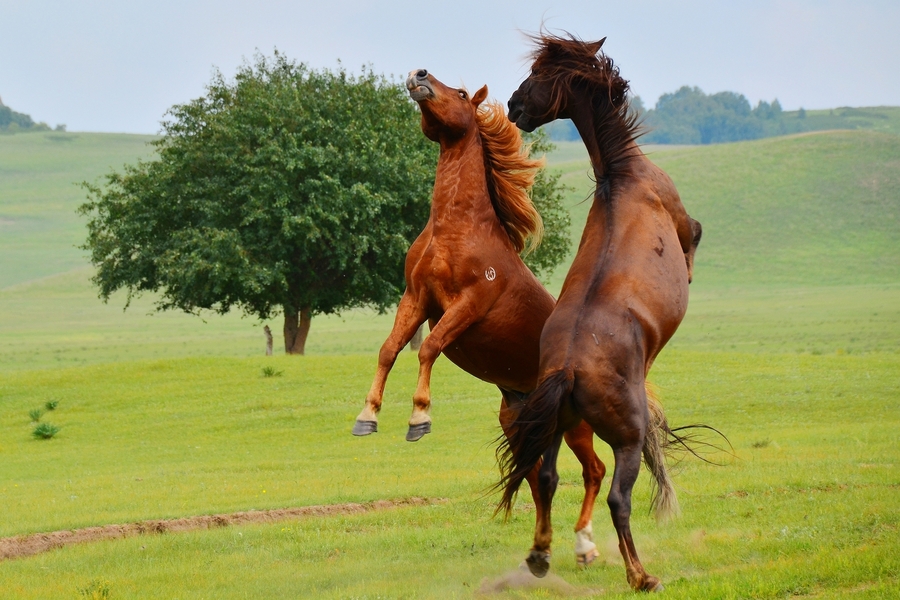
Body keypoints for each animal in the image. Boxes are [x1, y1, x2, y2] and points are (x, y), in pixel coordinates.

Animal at [352, 70, 604, 568]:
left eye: (464, 94)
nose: (419, 75)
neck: (456, 231)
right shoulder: (417, 299)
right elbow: (389, 350)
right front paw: (367, 415)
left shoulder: (467, 305)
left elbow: (428, 349)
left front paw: (419, 419)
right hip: (523, 423)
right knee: (538, 478)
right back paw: (543, 550)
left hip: (575, 424)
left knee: (595, 471)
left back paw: (585, 547)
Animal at [500, 34, 704, 592]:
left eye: (538, 77)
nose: (512, 106)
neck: (622, 176)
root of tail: (569, 369)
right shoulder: (687, 227)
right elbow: (695, 241)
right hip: (627, 439)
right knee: (617, 498)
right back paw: (641, 575)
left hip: (554, 429)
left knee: (547, 479)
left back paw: (541, 555)